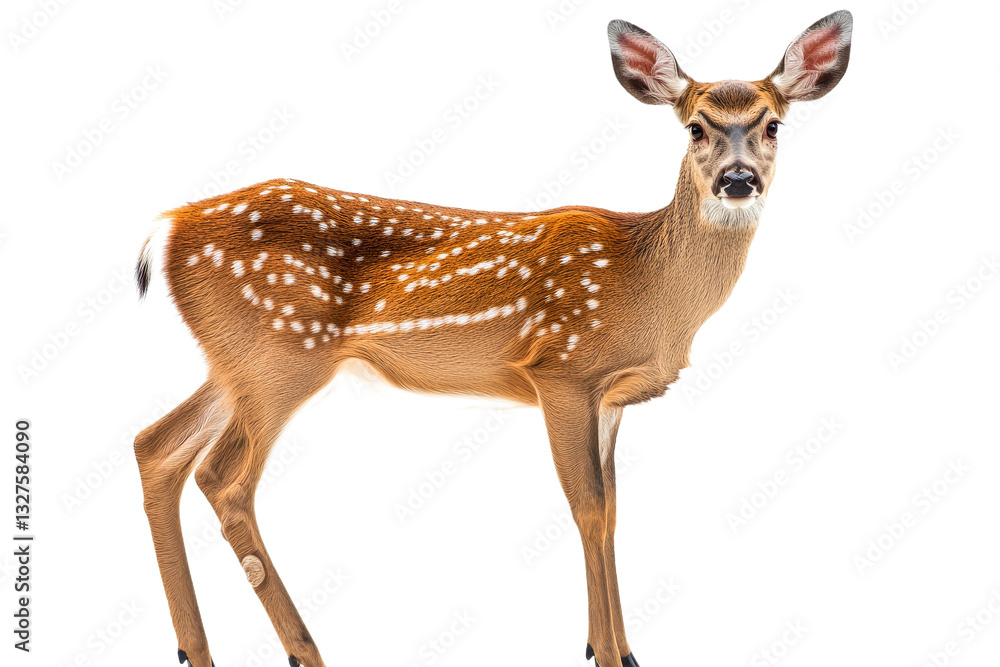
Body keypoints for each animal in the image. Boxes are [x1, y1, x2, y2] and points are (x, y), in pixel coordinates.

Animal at [133, 10, 852, 667]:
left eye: (773, 124)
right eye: (694, 126)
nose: (738, 179)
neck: (649, 286)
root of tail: (166, 226)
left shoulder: (610, 398)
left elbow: (613, 509)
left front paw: (620, 649)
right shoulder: (561, 369)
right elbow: (587, 508)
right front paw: (606, 653)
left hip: (235, 361)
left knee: (156, 447)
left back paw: (195, 649)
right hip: (282, 356)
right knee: (223, 478)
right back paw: (304, 650)